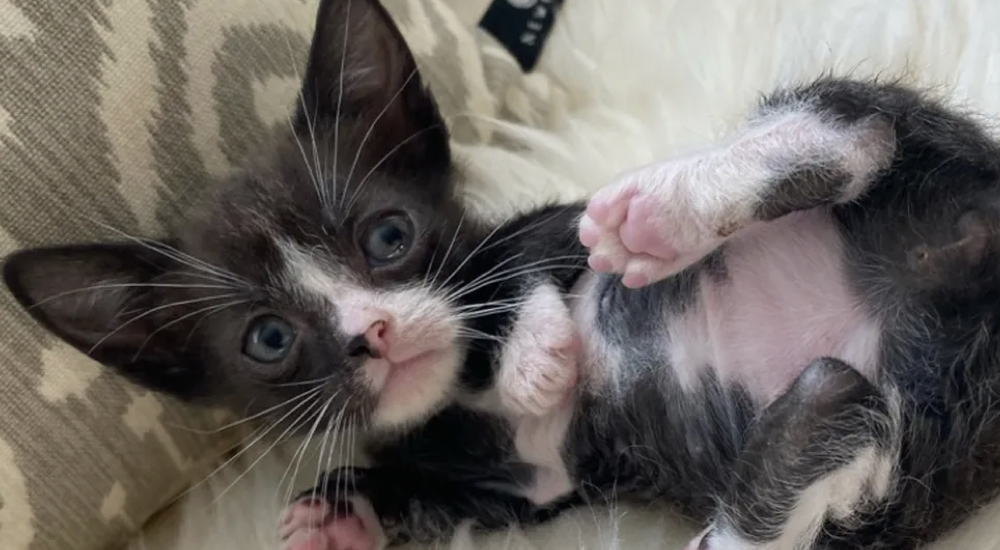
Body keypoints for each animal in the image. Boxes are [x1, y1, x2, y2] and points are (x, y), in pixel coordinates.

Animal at [5, 1, 1000, 550]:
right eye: (270, 338)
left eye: (390, 236)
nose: (371, 333)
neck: (459, 392)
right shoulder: (535, 490)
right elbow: (470, 496)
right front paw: (343, 512)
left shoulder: (544, 229)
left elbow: (523, 269)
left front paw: (534, 357)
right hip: (913, 461)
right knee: (844, 414)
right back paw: (796, 439)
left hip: (936, 154)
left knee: (860, 125)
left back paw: (663, 208)